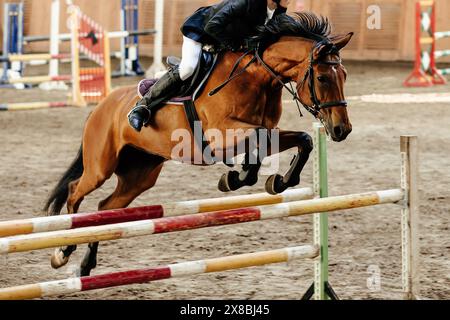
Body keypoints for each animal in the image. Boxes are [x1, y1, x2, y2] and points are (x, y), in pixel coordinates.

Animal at [46, 12, 356, 276]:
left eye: (344, 75)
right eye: (322, 77)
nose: (342, 129)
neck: (256, 78)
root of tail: (101, 105)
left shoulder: (268, 132)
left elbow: (303, 139)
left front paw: (275, 181)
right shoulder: (221, 136)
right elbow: (256, 143)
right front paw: (238, 177)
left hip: (139, 175)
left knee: (105, 208)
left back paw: (85, 265)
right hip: (101, 166)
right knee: (74, 192)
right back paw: (63, 250)